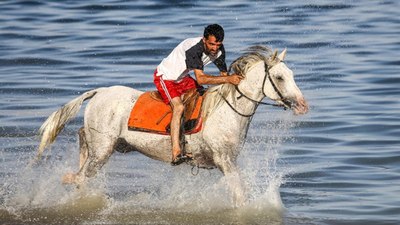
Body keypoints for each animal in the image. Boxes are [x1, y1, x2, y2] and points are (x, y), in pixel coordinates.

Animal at [36, 46, 308, 207]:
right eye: (280, 77)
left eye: (292, 74)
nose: (303, 105)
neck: (227, 110)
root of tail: (100, 92)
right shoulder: (225, 161)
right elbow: (239, 194)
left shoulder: (228, 161)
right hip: (103, 149)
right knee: (82, 174)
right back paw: (70, 178)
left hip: (111, 145)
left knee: (82, 143)